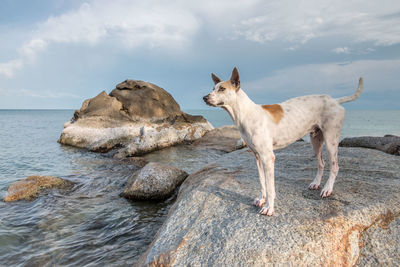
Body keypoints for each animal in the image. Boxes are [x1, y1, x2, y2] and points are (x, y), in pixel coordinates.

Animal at [203, 68, 362, 217]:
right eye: (213, 88)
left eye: (222, 89)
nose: (204, 97)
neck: (246, 114)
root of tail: (334, 100)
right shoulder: (257, 156)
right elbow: (262, 181)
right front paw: (262, 199)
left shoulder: (268, 158)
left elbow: (270, 186)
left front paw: (269, 208)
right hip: (315, 140)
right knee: (321, 163)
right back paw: (316, 183)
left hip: (331, 140)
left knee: (335, 166)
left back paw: (327, 188)